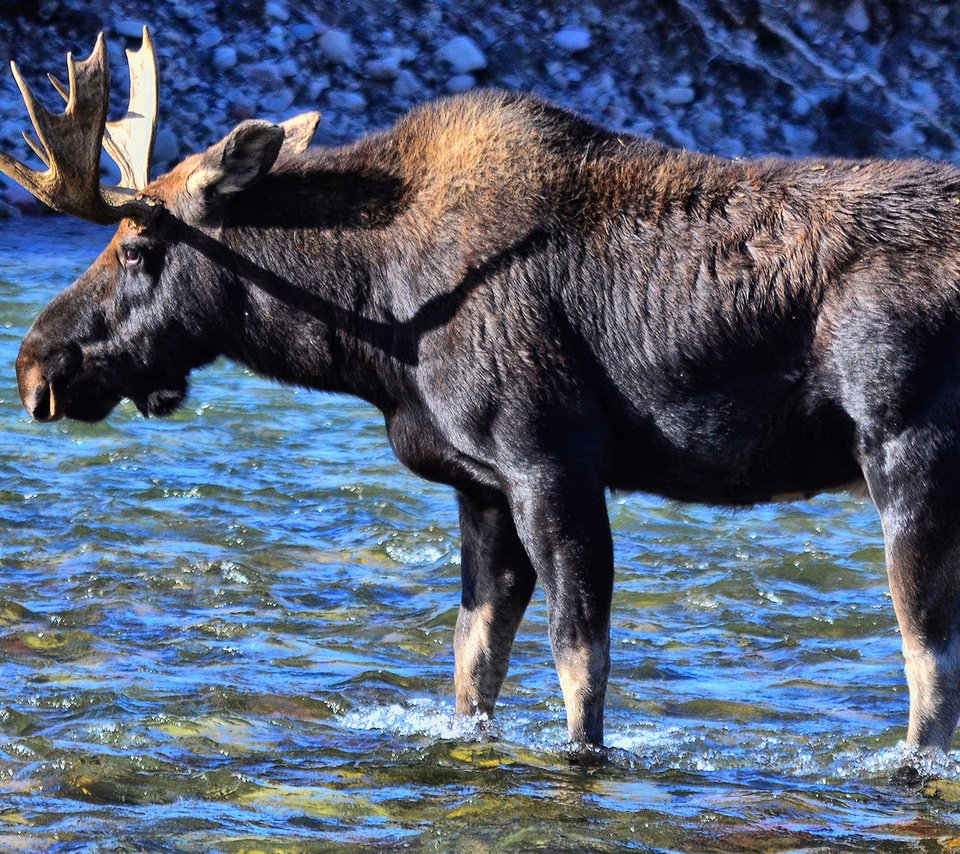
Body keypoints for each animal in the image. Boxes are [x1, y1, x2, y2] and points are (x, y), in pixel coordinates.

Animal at [1, 28, 960, 764]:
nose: (36, 366)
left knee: (928, 666)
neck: (373, 322)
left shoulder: (550, 461)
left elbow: (579, 668)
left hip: (906, 451)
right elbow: (472, 666)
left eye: (135, 246)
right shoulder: (481, 487)